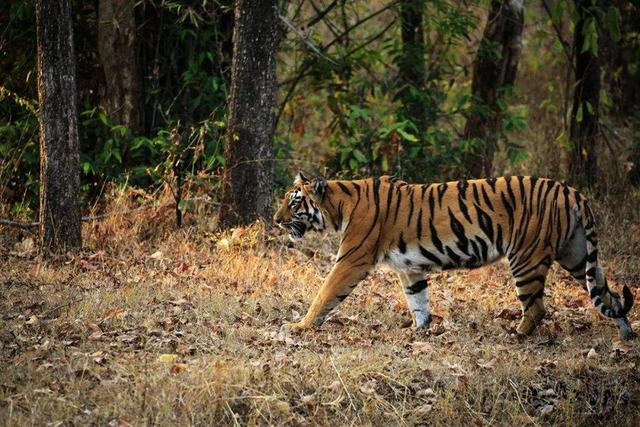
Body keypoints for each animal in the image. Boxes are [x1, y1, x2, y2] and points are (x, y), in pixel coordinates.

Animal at [274, 173, 635, 340]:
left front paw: (300, 326)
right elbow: (418, 301)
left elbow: (324, 294)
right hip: (576, 255)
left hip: (526, 257)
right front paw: (419, 331)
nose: (275, 220)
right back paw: (626, 334)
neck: (339, 205)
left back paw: (516, 335)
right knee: (609, 293)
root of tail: (571, 191)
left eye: (294, 202)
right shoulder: (409, 268)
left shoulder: (352, 259)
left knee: (537, 308)